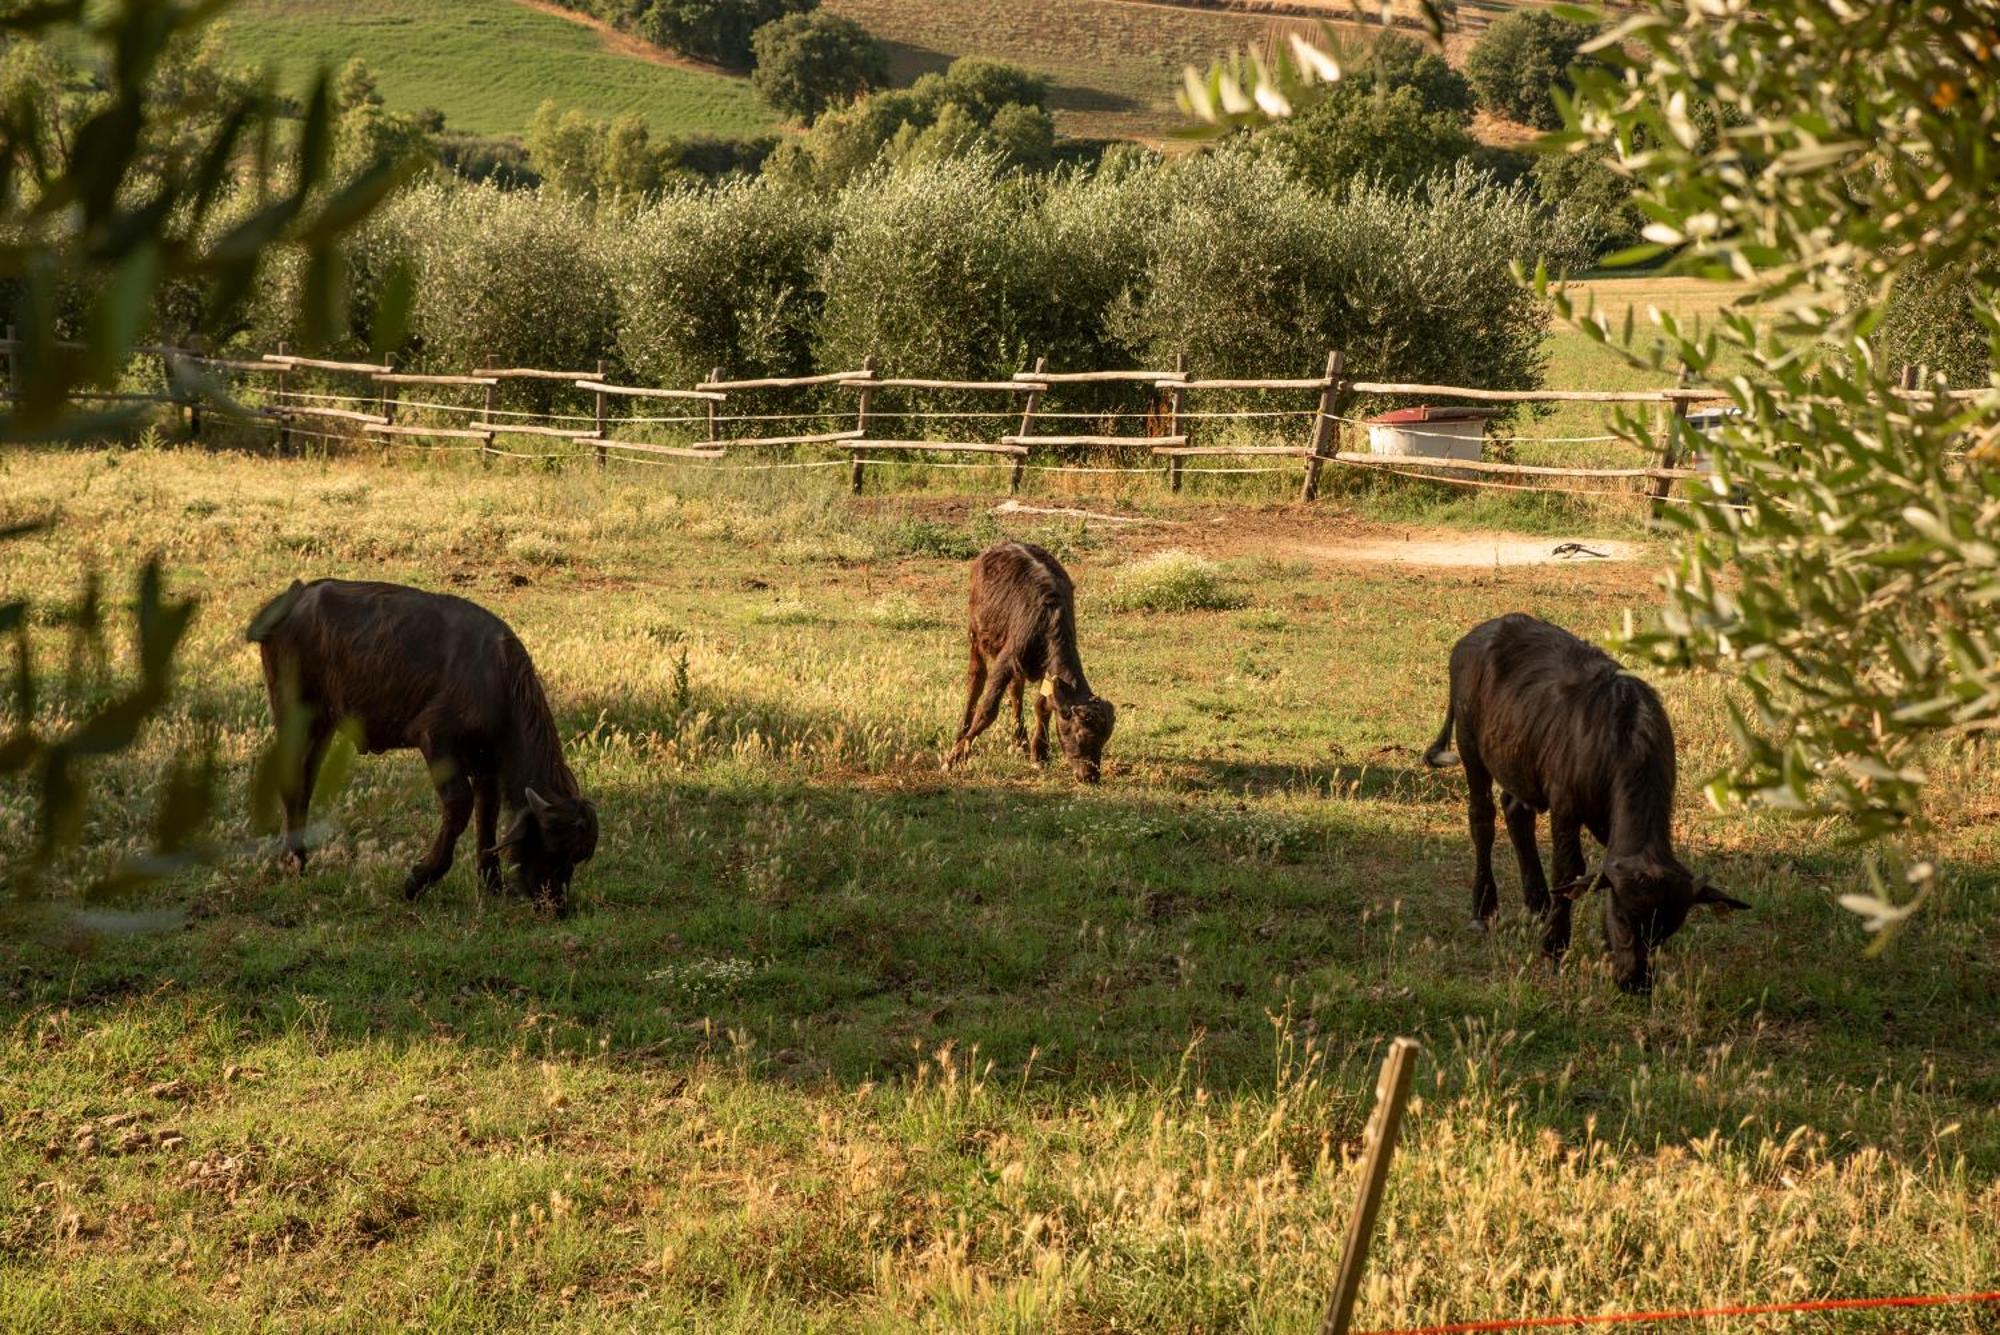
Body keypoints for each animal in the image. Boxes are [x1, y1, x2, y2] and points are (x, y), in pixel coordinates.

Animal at [247, 579, 596, 911]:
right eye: (551, 847)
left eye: (576, 857)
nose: (554, 903)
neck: (496, 680)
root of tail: (293, 598)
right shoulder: (436, 740)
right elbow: (459, 804)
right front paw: (418, 879)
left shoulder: (486, 765)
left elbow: (487, 814)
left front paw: (492, 883)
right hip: (294, 714)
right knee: (293, 778)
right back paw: (293, 861)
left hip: (322, 725)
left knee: (305, 779)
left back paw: (298, 858)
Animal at [944, 539, 1120, 783]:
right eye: (1081, 735)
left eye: (1104, 739)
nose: (1090, 775)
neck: (1049, 621)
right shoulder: (1006, 660)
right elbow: (987, 710)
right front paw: (955, 758)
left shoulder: (1045, 670)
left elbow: (1042, 705)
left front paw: (1040, 753)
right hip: (976, 636)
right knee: (976, 679)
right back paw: (962, 731)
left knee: (1016, 691)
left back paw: (1021, 742)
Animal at [1432, 615, 1744, 991]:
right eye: (1622, 916)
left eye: (1665, 931)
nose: (1635, 980)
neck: (1619, 744)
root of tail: (1471, 640)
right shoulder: (1565, 806)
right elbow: (1568, 868)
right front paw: (1554, 944)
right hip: (1470, 748)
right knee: (1482, 819)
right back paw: (1483, 910)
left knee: (1516, 811)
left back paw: (1537, 903)